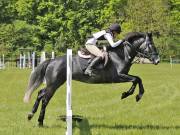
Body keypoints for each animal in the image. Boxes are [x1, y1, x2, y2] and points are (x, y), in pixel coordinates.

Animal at [23, 31, 160, 126]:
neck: (121, 54)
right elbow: (136, 79)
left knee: (40, 93)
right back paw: (40, 121)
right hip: (54, 84)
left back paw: (30, 115)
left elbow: (138, 79)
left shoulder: (122, 76)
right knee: (45, 99)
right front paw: (131, 95)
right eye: (150, 45)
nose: (157, 60)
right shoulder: (118, 76)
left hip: (55, 83)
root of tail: (52, 61)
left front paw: (133, 95)